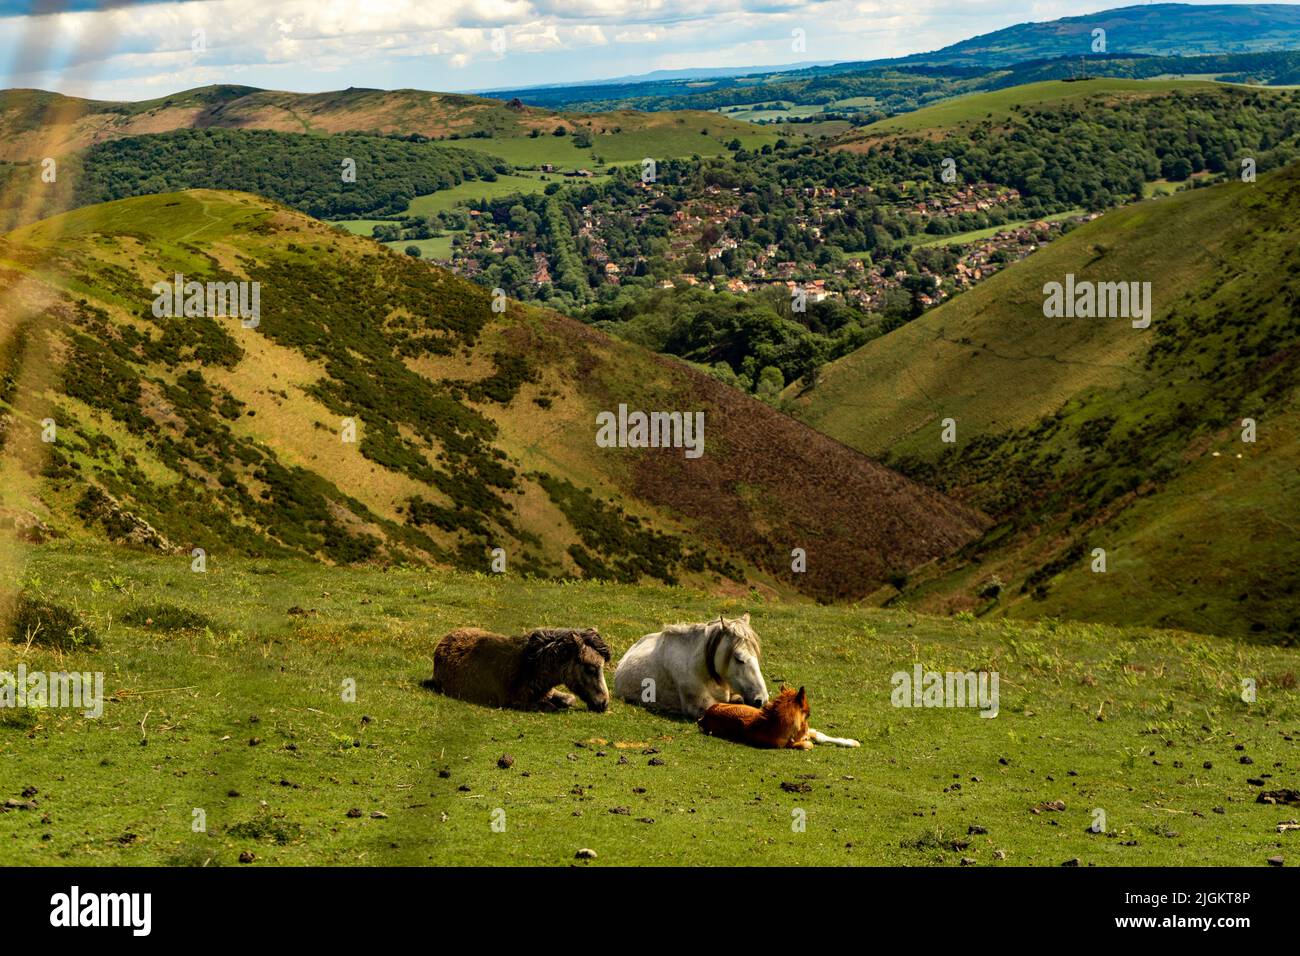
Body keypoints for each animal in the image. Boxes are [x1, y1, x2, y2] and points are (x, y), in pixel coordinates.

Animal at [422, 627, 611, 711]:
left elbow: (569, 699)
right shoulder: (513, 702)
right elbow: (548, 706)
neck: (528, 667)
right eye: (590, 668)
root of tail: (445, 639)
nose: (604, 703)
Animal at [699, 686, 861, 749]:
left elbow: (819, 736)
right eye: (808, 713)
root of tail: (705, 715)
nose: (805, 729)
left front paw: (853, 742)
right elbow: (808, 744)